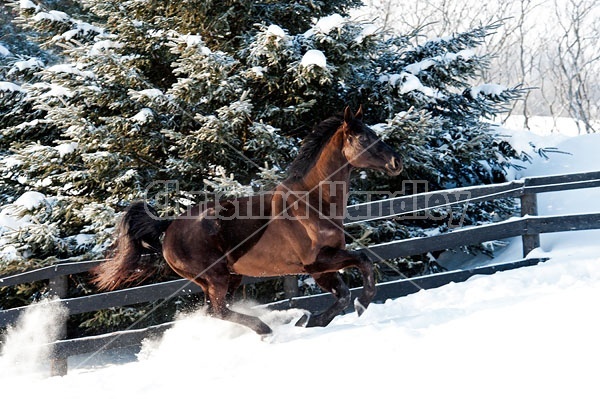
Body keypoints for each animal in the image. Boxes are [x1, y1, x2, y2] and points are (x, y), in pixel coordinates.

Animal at [92, 106, 404, 334]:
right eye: (363, 138)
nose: (396, 162)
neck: (313, 203)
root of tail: (168, 227)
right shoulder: (317, 262)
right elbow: (362, 263)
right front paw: (359, 305)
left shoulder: (322, 268)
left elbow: (343, 293)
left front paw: (310, 320)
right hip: (216, 276)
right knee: (219, 310)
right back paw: (266, 329)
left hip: (229, 277)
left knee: (215, 310)